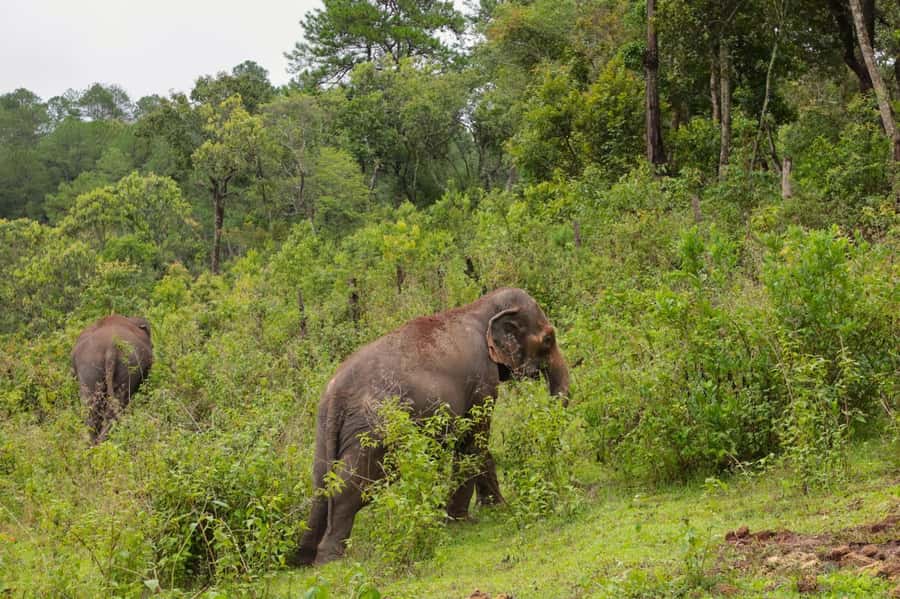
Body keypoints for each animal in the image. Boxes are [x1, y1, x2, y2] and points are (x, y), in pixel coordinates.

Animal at [72, 315, 153, 444]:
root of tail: (111, 347)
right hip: (128, 364)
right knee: (118, 401)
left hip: (89, 366)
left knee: (91, 405)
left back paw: (95, 444)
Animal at [290, 287, 569, 566]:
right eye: (548, 339)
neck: (480, 306)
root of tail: (336, 395)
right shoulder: (481, 379)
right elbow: (473, 440)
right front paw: (460, 520)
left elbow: (478, 445)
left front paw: (493, 507)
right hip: (373, 431)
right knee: (351, 486)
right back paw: (329, 559)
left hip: (325, 430)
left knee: (321, 484)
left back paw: (301, 558)